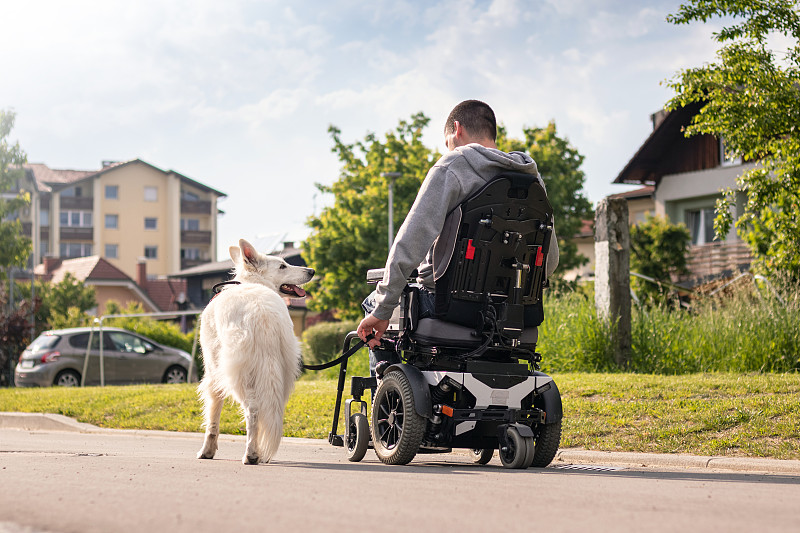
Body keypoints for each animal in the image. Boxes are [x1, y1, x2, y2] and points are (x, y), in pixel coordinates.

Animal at [197, 239, 316, 464]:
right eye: (282, 266)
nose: (312, 270)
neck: (252, 282)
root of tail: (263, 314)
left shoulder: (213, 372)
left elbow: (213, 417)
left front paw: (207, 451)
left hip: (239, 375)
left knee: (252, 411)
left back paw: (251, 454)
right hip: (282, 370)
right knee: (271, 410)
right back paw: (260, 453)